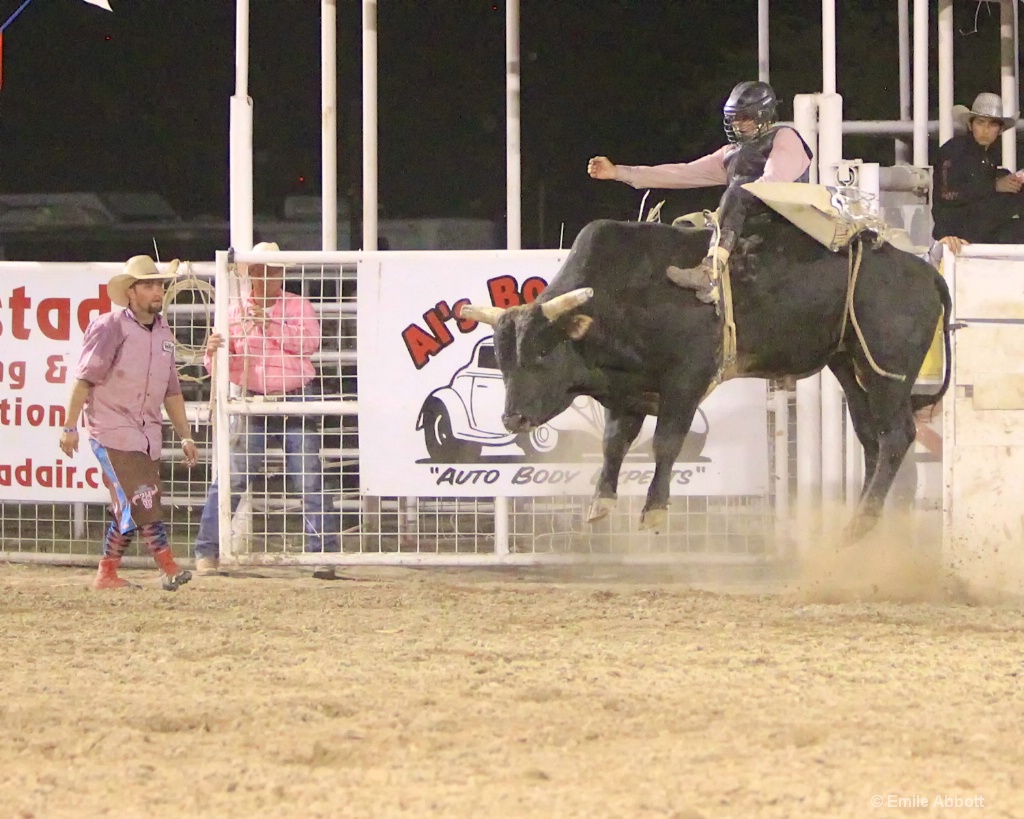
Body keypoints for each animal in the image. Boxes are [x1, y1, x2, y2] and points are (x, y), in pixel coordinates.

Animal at [458, 216, 950, 544]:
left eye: (542, 353)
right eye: (501, 359)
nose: (513, 419)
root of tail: (925, 272)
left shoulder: (686, 379)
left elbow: (666, 442)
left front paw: (655, 509)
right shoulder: (627, 392)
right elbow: (614, 442)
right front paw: (601, 502)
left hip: (888, 370)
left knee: (897, 435)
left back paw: (861, 520)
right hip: (849, 364)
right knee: (873, 438)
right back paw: (862, 519)